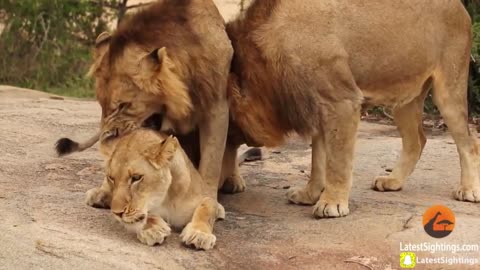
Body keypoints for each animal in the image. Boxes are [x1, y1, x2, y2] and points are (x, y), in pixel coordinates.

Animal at [222, 0, 480, 218]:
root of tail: (460, 7)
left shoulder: (341, 102)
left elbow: (337, 161)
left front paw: (331, 204)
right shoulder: (318, 107)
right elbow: (318, 160)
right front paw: (310, 194)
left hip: (449, 88)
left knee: (469, 143)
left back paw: (468, 190)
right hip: (404, 98)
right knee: (416, 140)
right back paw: (393, 181)